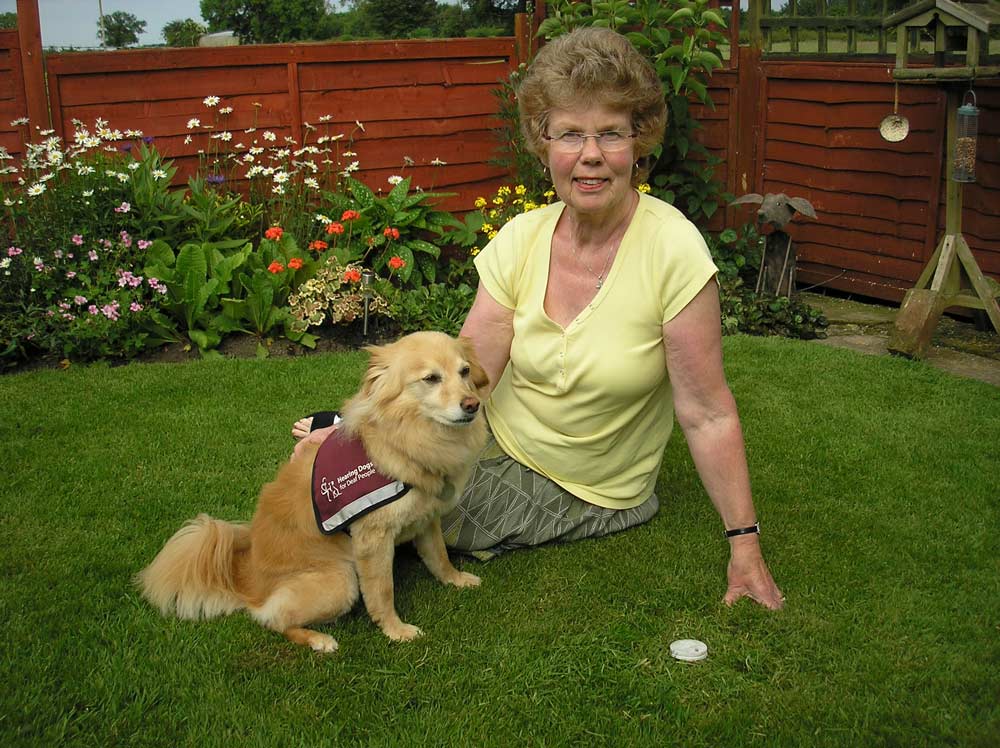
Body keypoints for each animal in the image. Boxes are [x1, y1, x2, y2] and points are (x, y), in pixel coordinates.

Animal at [136, 330, 488, 652]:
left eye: (465, 371)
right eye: (431, 378)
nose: (472, 404)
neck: (406, 439)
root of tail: (244, 577)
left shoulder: (426, 518)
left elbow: (438, 556)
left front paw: (455, 579)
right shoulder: (372, 541)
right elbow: (382, 591)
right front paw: (395, 629)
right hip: (340, 580)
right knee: (271, 619)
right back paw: (318, 640)